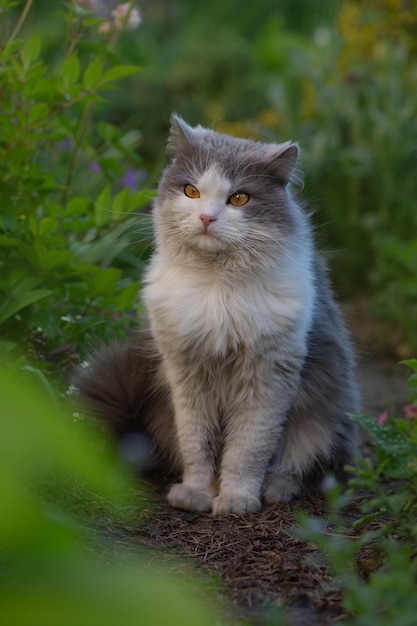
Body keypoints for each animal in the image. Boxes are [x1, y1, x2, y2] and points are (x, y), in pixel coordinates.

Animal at [75, 114, 360, 516]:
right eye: (191, 191)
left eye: (239, 198)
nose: (207, 217)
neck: (216, 287)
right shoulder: (186, 375)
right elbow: (198, 445)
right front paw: (197, 494)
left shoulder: (267, 378)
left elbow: (247, 450)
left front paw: (236, 499)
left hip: (323, 416)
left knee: (300, 464)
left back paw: (275, 489)